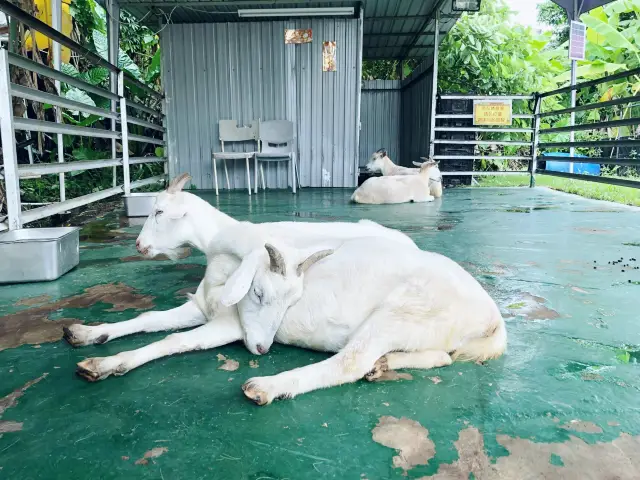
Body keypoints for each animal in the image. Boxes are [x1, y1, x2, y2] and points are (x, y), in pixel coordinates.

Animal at [63, 172, 416, 382]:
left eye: (159, 211)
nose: (139, 245)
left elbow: (174, 339)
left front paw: (108, 363)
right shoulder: (202, 304)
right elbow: (149, 319)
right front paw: (87, 333)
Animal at [205, 225, 504, 404]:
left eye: (257, 292)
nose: (261, 348)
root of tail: (494, 317)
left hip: (401, 310)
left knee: (350, 363)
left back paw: (266, 386)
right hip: (426, 329)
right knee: (443, 357)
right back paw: (383, 364)